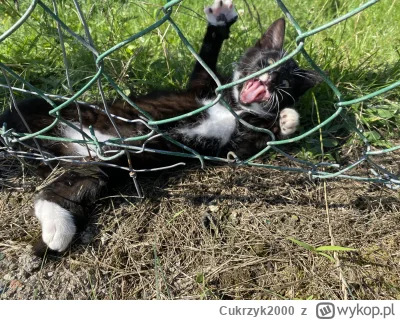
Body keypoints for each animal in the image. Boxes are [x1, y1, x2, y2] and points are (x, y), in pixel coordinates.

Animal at [0, 0, 320, 256]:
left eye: (287, 82)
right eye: (269, 60)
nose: (274, 75)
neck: (233, 104)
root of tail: (55, 150)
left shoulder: (231, 144)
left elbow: (248, 146)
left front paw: (287, 121)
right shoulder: (200, 87)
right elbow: (203, 61)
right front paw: (219, 21)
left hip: (105, 163)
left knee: (60, 191)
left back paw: (56, 233)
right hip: (50, 109)